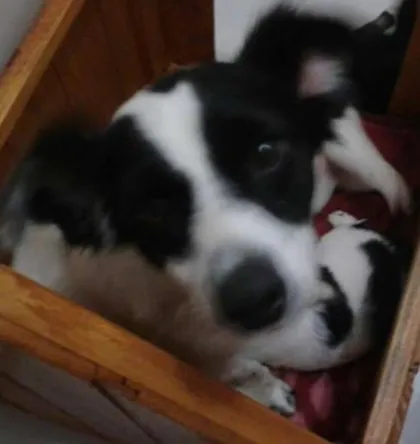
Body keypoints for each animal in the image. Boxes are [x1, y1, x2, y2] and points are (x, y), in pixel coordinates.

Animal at [0, 7, 409, 416]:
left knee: (395, 189)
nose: (254, 300)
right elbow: (237, 370)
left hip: (356, 160)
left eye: (266, 154)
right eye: (152, 210)